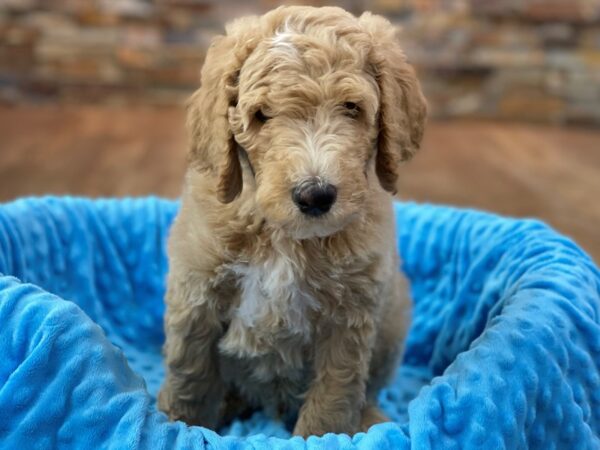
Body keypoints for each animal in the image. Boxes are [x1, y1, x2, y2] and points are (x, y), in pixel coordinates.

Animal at [157, 5, 424, 438]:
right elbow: (190, 374)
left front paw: (324, 438)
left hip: (395, 318)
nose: (315, 195)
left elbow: (335, 392)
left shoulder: (349, 316)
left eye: (351, 107)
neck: (284, 236)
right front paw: (178, 426)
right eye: (261, 115)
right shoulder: (196, 292)